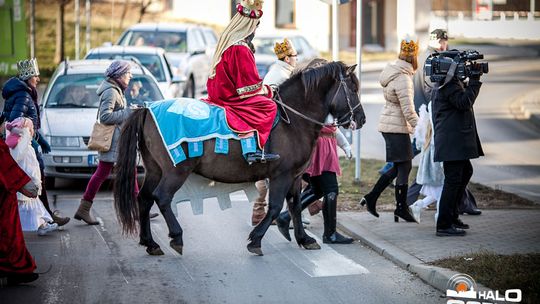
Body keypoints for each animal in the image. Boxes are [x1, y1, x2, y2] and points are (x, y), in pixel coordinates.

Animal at [114, 60, 368, 255]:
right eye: (353, 88)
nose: (362, 119)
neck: (293, 120)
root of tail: (146, 109)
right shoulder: (282, 175)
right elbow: (275, 207)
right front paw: (256, 239)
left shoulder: (295, 176)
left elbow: (294, 205)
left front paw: (304, 239)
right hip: (175, 170)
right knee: (162, 197)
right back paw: (176, 237)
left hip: (154, 169)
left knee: (144, 198)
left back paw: (150, 242)